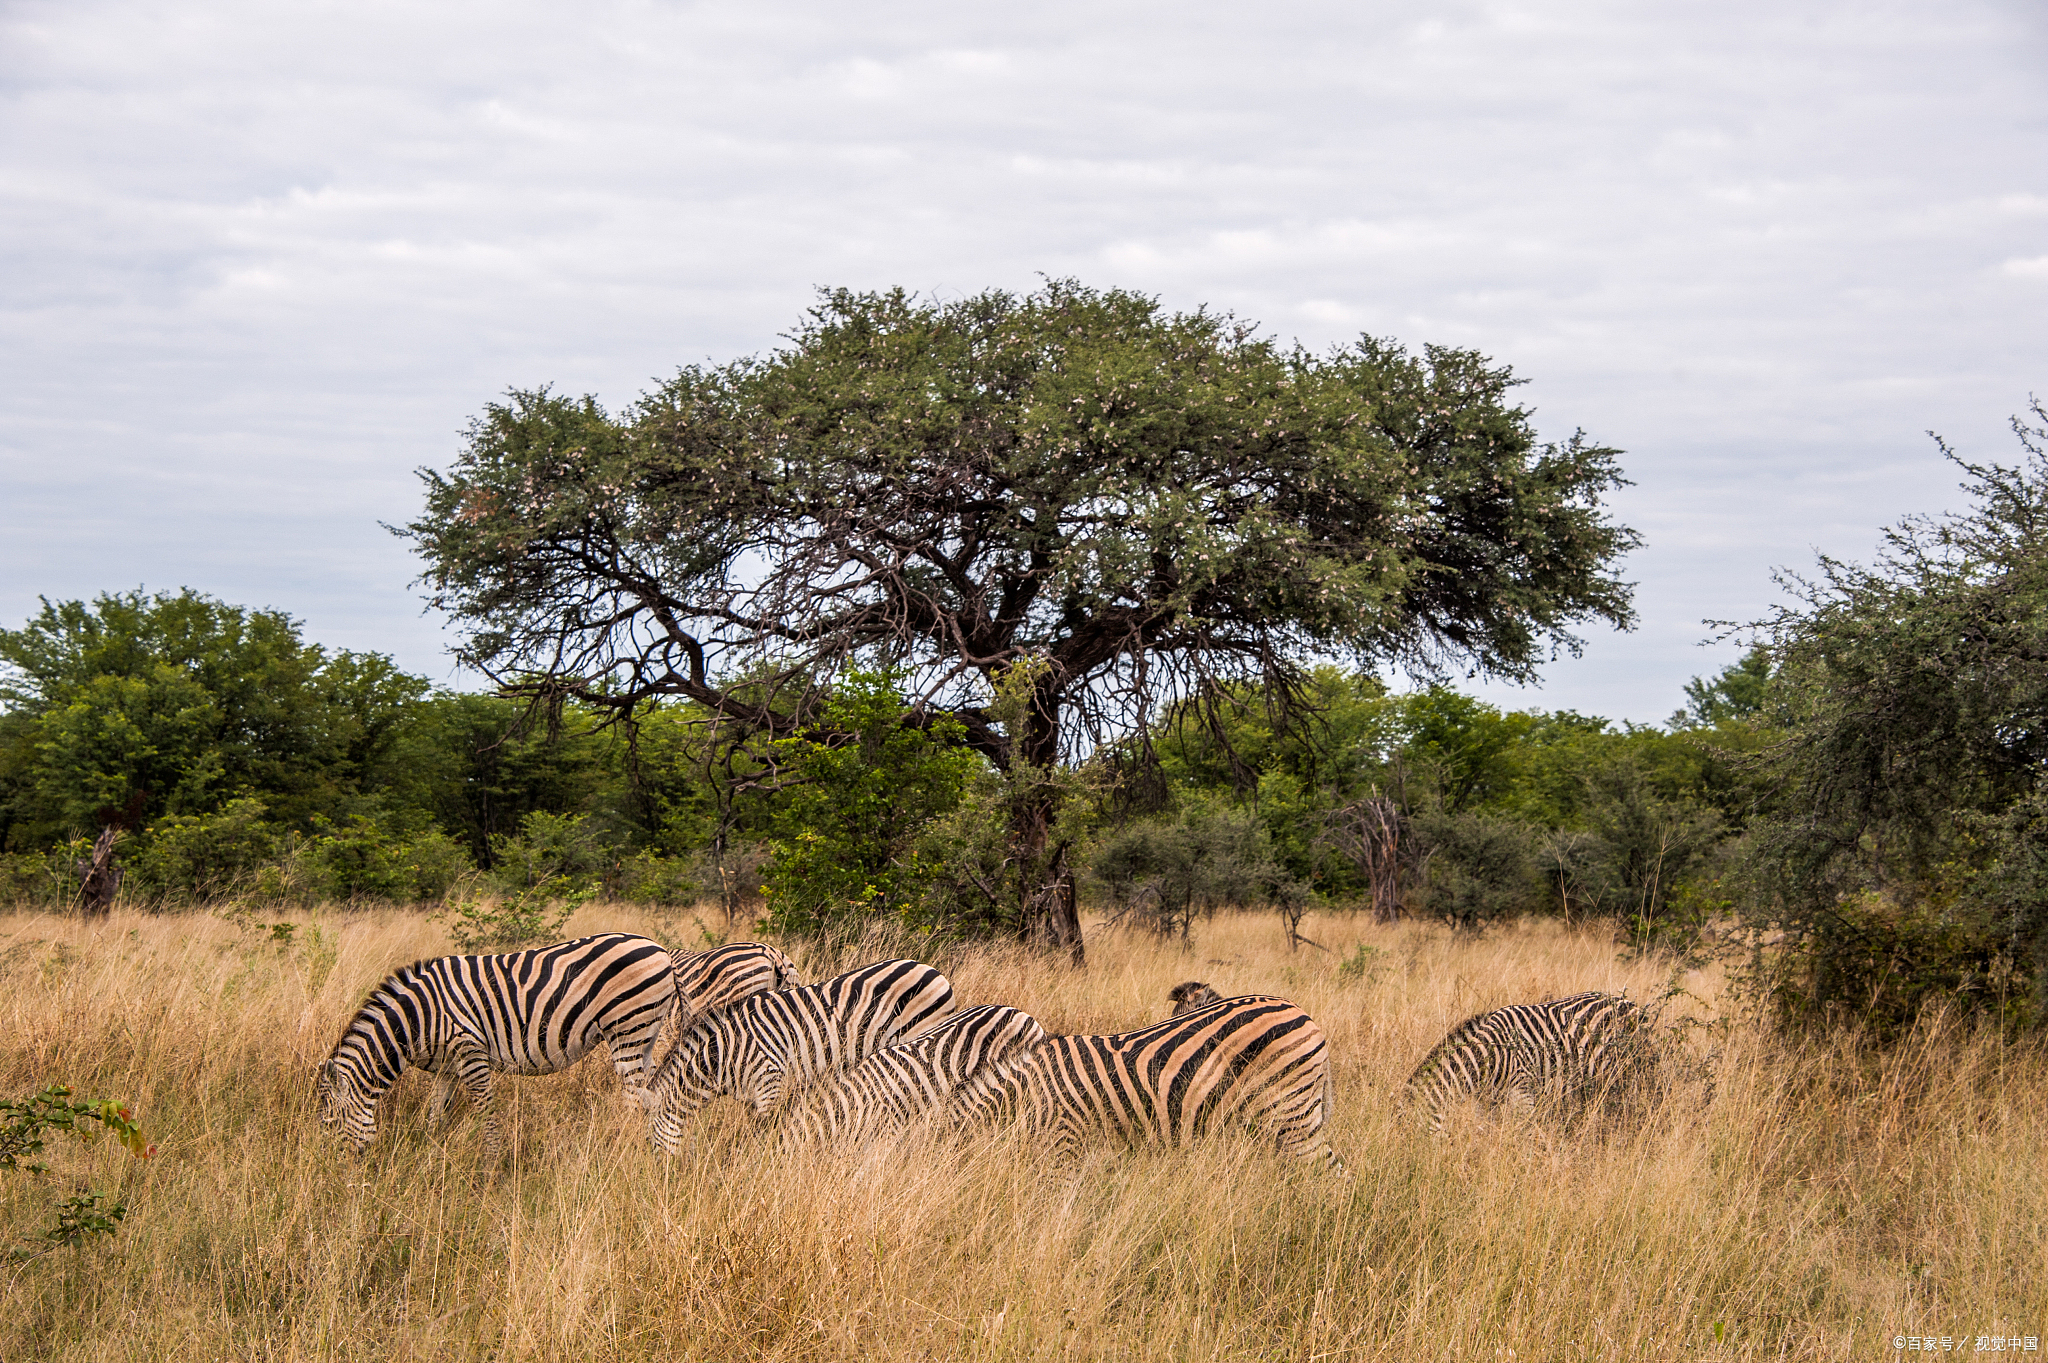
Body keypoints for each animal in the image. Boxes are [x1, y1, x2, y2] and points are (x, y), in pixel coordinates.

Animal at [315, 929, 675, 1154]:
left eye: (330, 1123)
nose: (337, 1171)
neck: (418, 1020)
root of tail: (659, 949)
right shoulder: (447, 1066)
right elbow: (436, 1114)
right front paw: (432, 1151)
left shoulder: (470, 1050)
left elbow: (485, 1112)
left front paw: (491, 1163)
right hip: (644, 1034)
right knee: (656, 1090)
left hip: (627, 1029)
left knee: (636, 1097)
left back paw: (623, 1145)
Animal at [643, 949, 954, 1154]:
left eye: (648, 1142)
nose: (657, 1175)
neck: (723, 1055)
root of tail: (933, 971)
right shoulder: (751, 1093)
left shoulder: (770, 1079)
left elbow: (763, 1129)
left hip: (920, 1036)